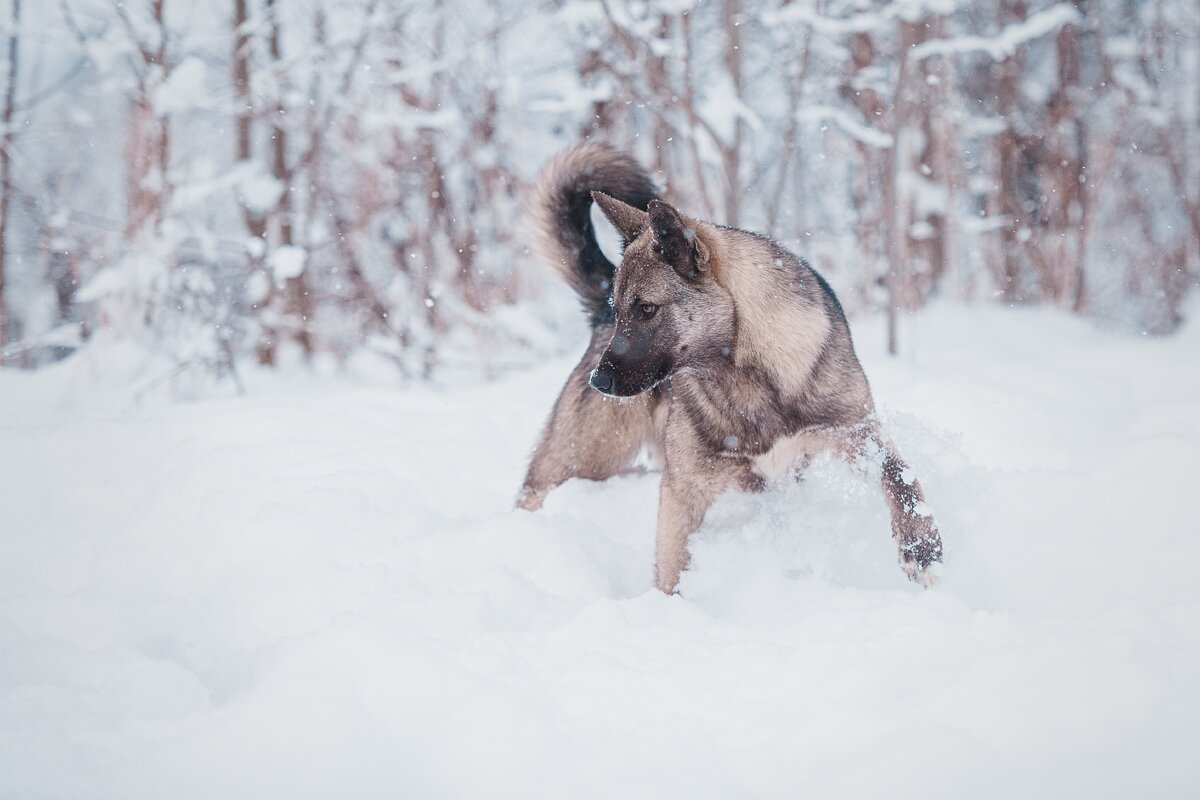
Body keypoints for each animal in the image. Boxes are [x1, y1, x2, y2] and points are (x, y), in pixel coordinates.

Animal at [520, 142, 940, 594]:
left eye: (646, 309)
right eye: (622, 313)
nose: (599, 381)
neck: (750, 376)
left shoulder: (857, 432)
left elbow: (899, 476)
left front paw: (921, 547)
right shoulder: (683, 490)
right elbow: (671, 571)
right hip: (580, 461)